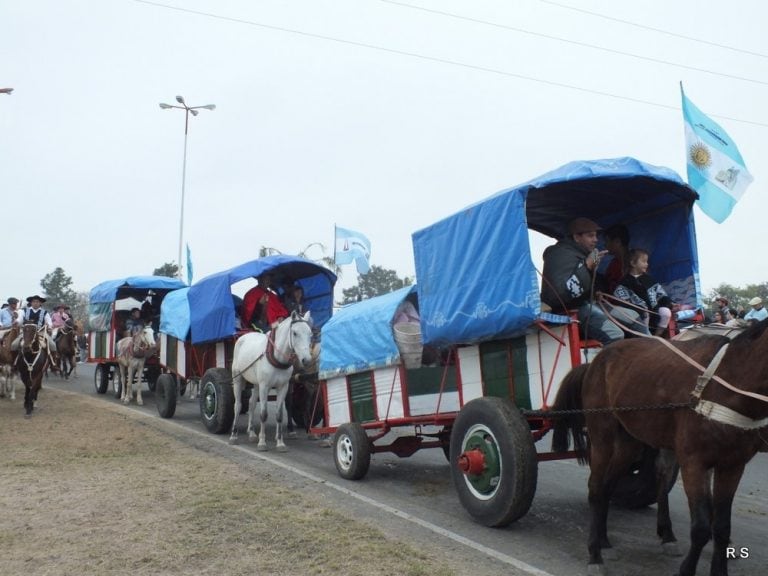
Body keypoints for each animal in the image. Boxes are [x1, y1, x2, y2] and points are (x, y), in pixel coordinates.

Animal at [230, 310, 314, 450]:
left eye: (310, 334)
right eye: (295, 333)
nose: (306, 360)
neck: (277, 357)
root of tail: (244, 336)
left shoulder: (283, 386)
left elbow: (279, 415)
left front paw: (280, 443)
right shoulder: (265, 386)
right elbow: (263, 414)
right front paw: (262, 442)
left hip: (256, 383)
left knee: (252, 403)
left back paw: (252, 433)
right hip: (238, 378)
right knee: (237, 405)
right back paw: (233, 435)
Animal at [556, 320, 768, 576]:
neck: (726, 385)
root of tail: (595, 361)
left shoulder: (732, 465)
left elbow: (721, 527)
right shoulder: (693, 463)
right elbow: (700, 528)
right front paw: (686, 569)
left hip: (629, 443)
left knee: (609, 487)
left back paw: (606, 541)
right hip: (601, 437)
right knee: (596, 489)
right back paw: (595, 554)